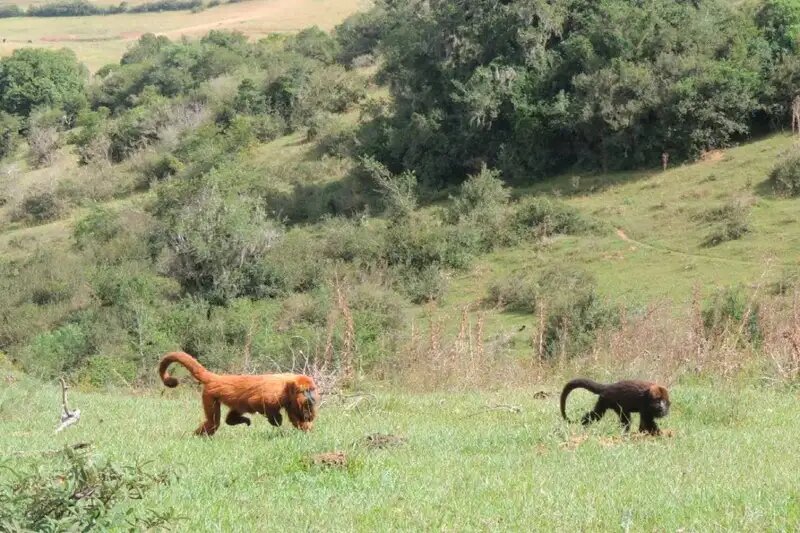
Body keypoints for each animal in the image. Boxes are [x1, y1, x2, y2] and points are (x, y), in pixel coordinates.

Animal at [156, 352, 318, 434]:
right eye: (306, 391)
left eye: (312, 390)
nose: (312, 398)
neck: (289, 386)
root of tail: (217, 378)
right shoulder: (274, 392)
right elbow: (257, 402)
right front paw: (275, 419)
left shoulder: (291, 400)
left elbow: (296, 417)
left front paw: (306, 429)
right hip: (209, 395)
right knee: (213, 423)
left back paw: (234, 420)